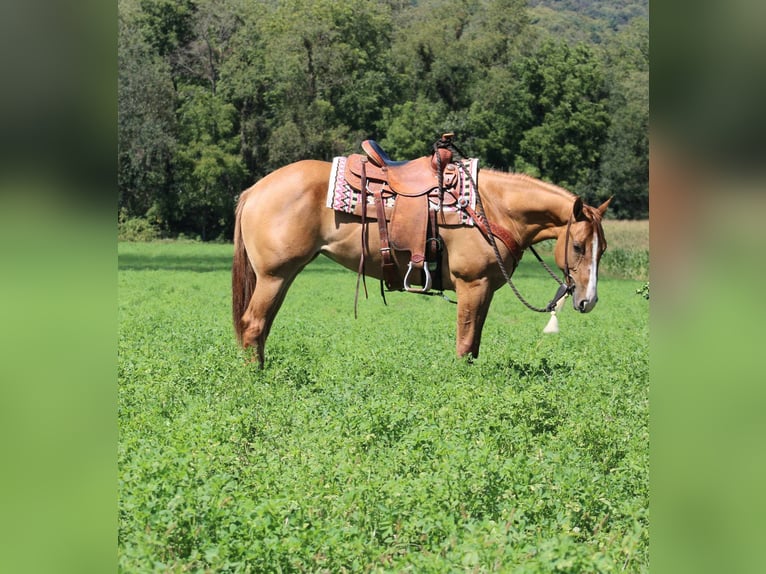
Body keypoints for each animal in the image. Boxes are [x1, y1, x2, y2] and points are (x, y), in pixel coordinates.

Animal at [232, 160, 612, 366]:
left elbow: (474, 345)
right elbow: (464, 343)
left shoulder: (485, 289)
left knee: (261, 328)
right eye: (578, 245)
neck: (492, 208)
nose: (589, 301)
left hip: (284, 276)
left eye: (603, 249)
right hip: (274, 276)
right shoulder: (472, 284)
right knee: (253, 325)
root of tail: (254, 190)